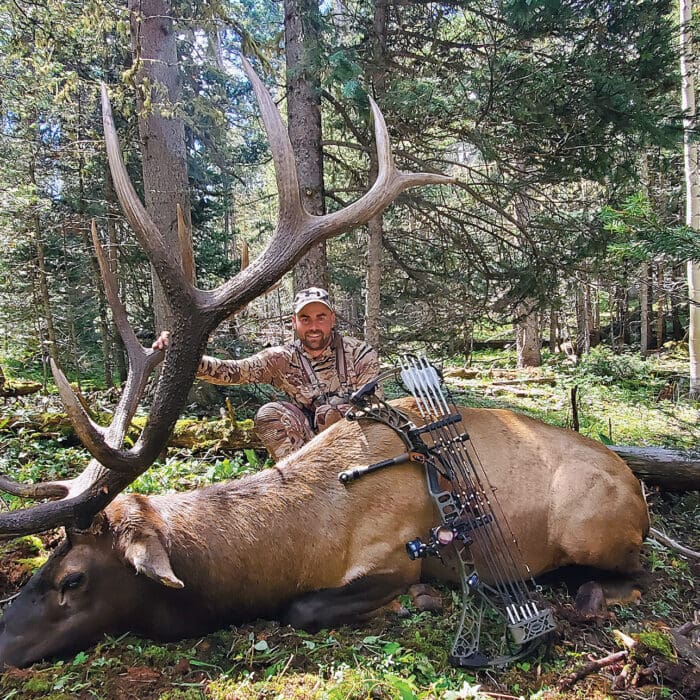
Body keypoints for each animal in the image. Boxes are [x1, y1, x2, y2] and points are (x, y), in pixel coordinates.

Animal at [0, 58, 650, 670]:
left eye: (74, 578)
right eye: (46, 562)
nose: (4, 638)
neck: (305, 538)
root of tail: (637, 489)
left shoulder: (394, 555)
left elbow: (302, 607)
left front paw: (420, 600)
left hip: (591, 528)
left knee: (633, 575)